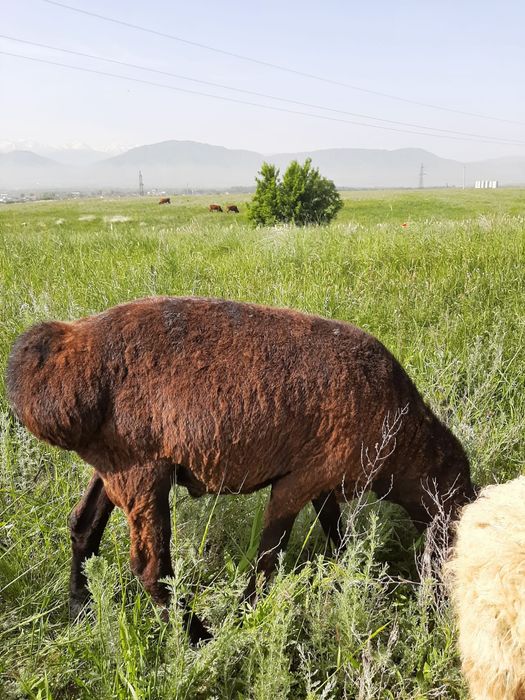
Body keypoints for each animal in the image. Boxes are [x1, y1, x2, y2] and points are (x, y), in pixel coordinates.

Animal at [7, 296, 475, 643]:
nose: (445, 600)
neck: (403, 438)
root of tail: (61, 353)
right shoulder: (298, 481)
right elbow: (270, 554)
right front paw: (247, 615)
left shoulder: (321, 479)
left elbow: (335, 531)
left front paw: (352, 575)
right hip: (142, 473)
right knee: (151, 568)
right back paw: (201, 637)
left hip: (112, 467)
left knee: (83, 525)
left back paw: (80, 607)